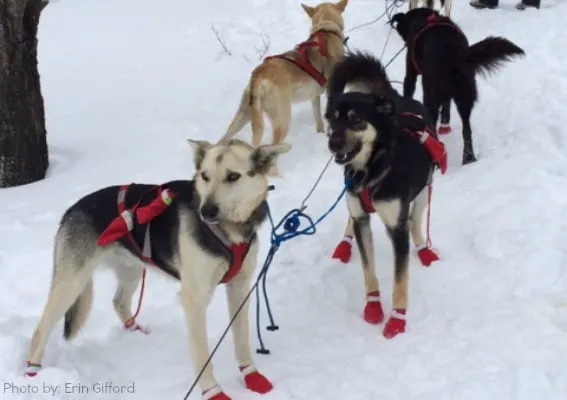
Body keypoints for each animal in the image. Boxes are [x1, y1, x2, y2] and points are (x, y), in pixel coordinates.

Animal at [25, 139, 292, 398]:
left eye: (233, 176)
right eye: (205, 176)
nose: (206, 211)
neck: (228, 231)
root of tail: (71, 210)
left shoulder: (240, 287)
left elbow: (241, 339)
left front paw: (251, 375)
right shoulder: (194, 298)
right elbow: (202, 354)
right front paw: (212, 391)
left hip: (131, 271)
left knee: (118, 301)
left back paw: (136, 329)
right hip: (71, 284)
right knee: (40, 330)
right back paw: (31, 371)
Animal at [220, 0, 348, 147]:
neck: (326, 30)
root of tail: (259, 76)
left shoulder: (314, 96)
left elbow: (318, 118)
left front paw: (321, 132)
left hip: (244, 114)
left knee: (223, 139)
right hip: (282, 120)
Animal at [324, 51, 448, 340]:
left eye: (356, 119)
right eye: (331, 120)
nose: (333, 144)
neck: (372, 170)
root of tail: (396, 98)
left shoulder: (397, 228)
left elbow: (400, 280)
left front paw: (397, 321)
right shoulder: (361, 218)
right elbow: (368, 270)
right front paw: (373, 307)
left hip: (424, 189)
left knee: (416, 220)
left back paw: (424, 250)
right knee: (350, 219)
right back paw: (344, 244)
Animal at [392, 8, 524, 164]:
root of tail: (453, 55)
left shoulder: (410, 74)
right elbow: (447, 105)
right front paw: (445, 123)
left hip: (431, 97)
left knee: (432, 127)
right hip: (464, 98)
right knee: (466, 130)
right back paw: (468, 157)